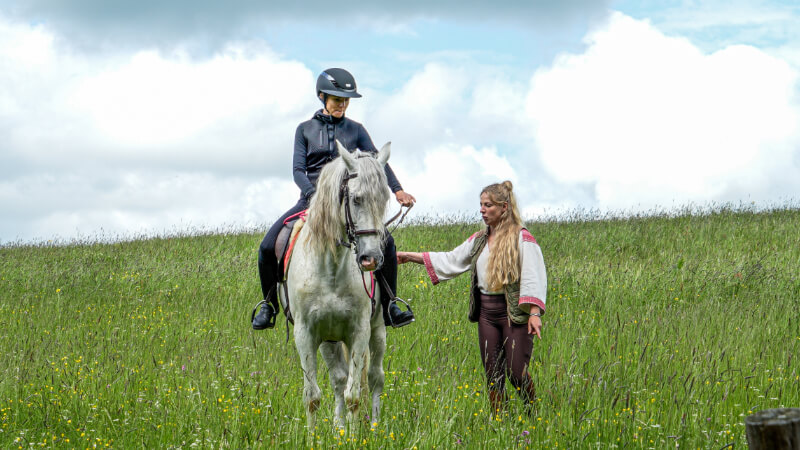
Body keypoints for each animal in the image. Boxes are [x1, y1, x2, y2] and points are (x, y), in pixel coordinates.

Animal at [282, 142, 390, 430]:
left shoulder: (360, 330)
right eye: (356, 199)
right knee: (339, 379)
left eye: (384, 199)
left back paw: (375, 428)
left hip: (377, 331)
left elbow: (355, 395)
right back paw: (338, 428)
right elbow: (312, 395)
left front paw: (354, 436)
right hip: (329, 340)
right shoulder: (306, 334)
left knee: (374, 377)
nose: (371, 258)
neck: (330, 268)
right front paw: (312, 436)